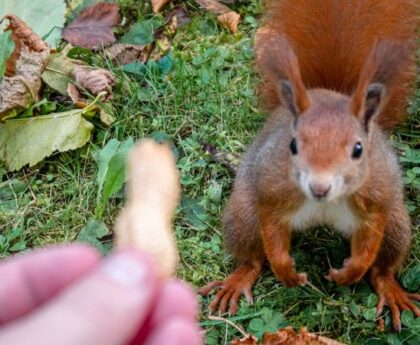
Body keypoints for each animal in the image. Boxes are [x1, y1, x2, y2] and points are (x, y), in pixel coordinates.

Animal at [199, 0, 420, 330]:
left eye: (358, 149)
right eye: (293, 145)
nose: (319, 187)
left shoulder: (376, 196)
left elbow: (370, 238)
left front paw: (350, 271)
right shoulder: (272, 188)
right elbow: (272, 229)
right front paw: (287, 271)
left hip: (397, 225)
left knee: (384, 265)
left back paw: (390, 289)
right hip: (244, 214)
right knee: (252, 255)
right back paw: (238, 280)